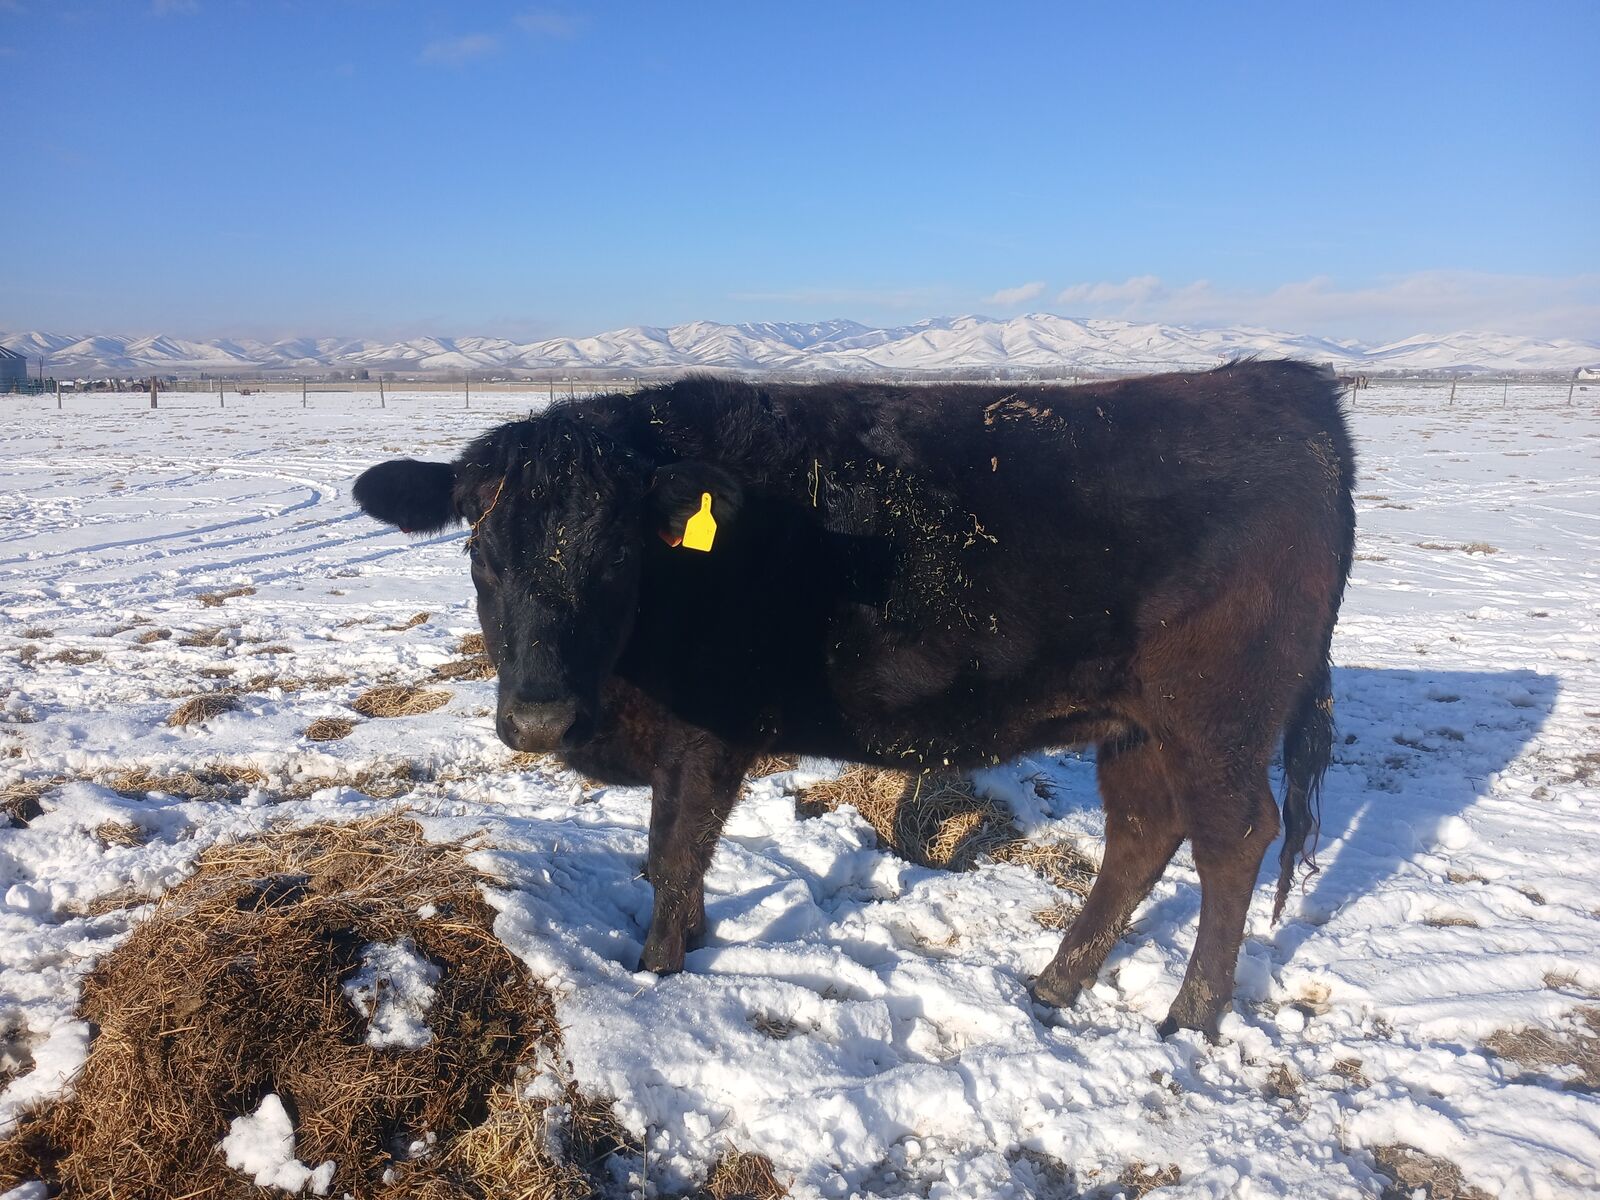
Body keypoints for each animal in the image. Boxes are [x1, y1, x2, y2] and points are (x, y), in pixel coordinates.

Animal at [353, 360, 1355, 1038]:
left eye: (616, 556)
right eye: (481, 552)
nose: (538, 719)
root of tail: (1288, 388)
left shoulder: (703, 737)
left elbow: (672, 857)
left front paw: (659, 972)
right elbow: (687, 863)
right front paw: (694, 941)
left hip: (1215, 719)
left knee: (1233, 839)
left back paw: (1189, 1015)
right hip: (1136, 725)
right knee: (1143, 834)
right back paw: (1053, 985)